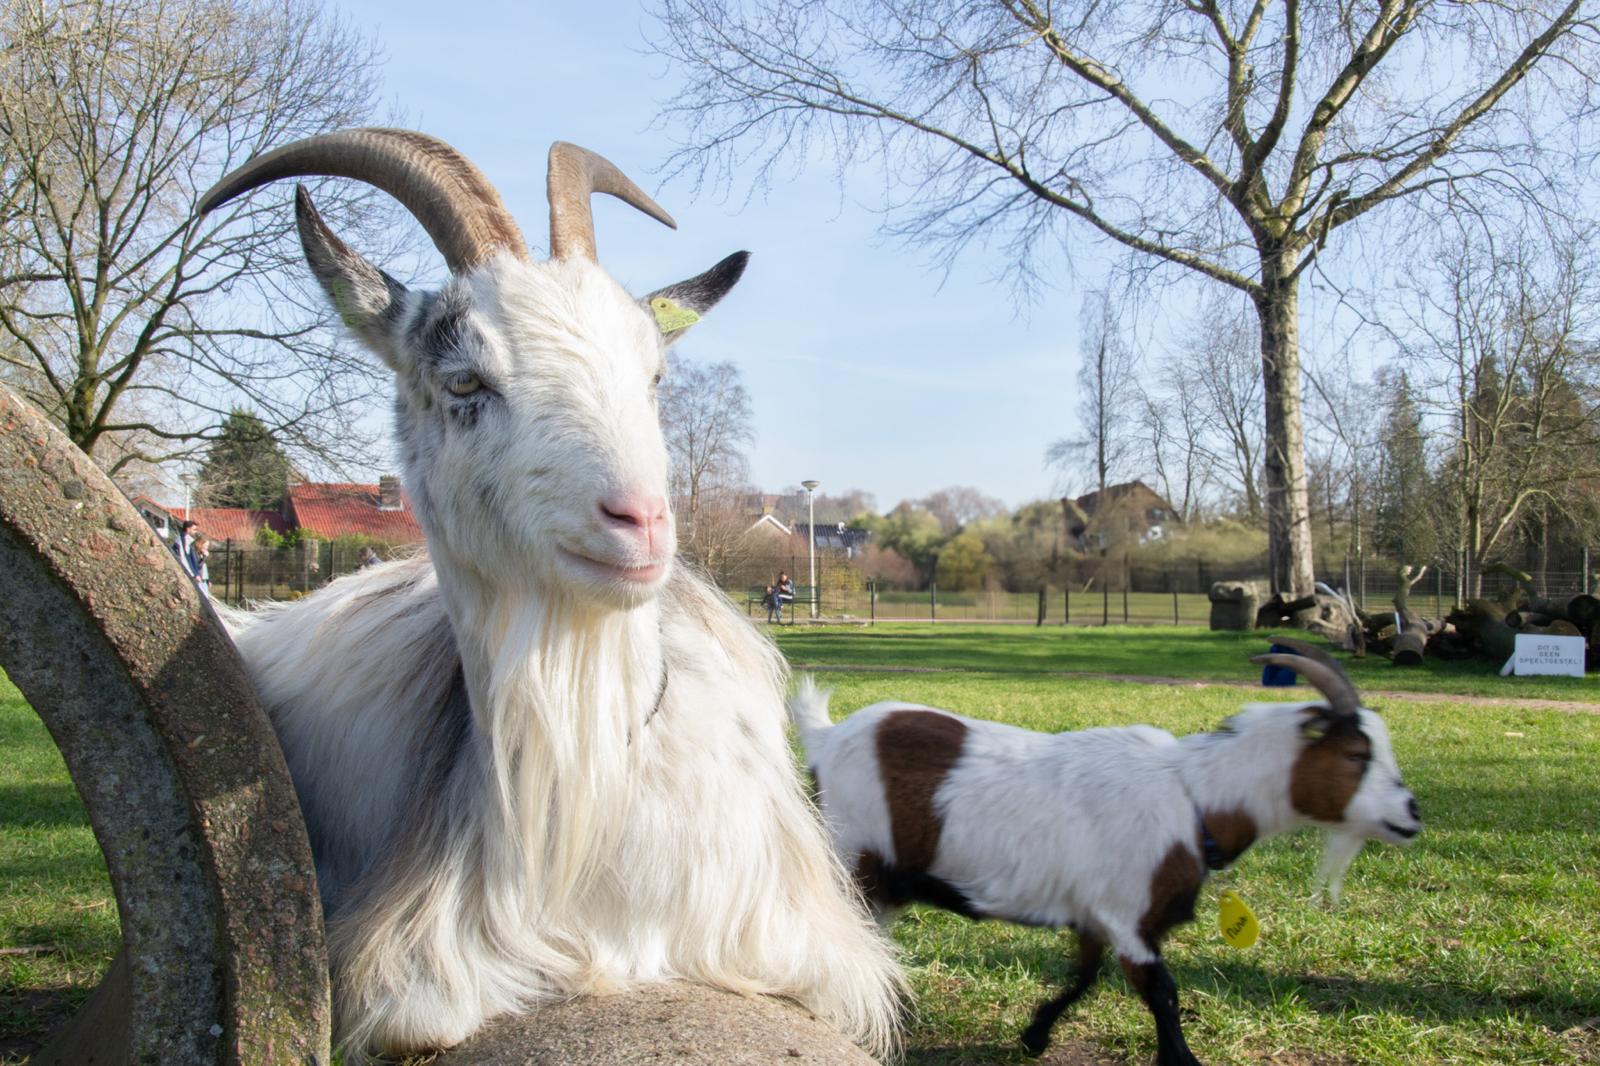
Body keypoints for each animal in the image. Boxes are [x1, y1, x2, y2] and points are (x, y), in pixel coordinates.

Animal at [793, 640, 1420, 1062]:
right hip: (852, 856)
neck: (1194, 794)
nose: (1412, 814)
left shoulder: (1096, 914)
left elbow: (1084, 977)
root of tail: (827, 735)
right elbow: (1162, 994)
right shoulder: (1128, 916)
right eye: (1356, 753)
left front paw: (1035, 1034)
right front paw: (1181, 1061)